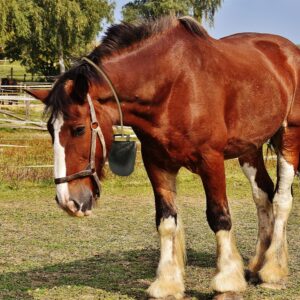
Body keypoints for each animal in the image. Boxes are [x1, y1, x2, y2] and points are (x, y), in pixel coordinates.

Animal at [25, 17, 300, 300]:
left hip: (289, 137)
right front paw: (167, 284)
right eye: (51, 130)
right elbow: (166, 221)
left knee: (281, 200)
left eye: (79, 129)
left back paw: (273, 271)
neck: (173, 86)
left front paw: (226, 282)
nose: (67, 201)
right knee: (263, 195)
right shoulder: (157, 163)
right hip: (249, 148)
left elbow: (219, 217)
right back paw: (257, 265)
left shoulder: (210, 160)